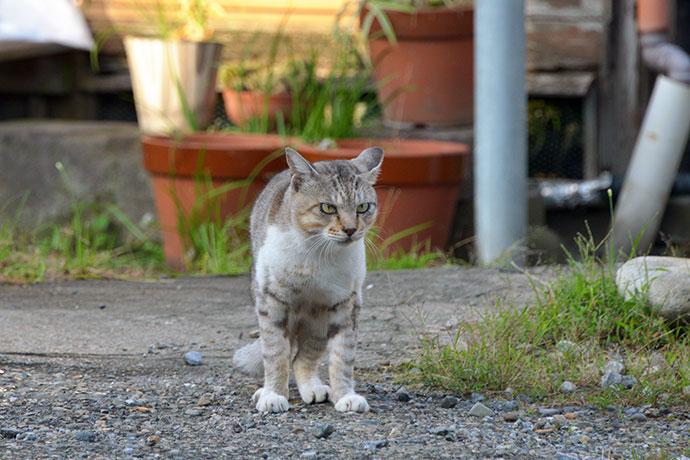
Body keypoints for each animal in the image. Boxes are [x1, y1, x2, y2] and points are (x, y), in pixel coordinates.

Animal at [231, 146, 382, 414]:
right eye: (328, 208)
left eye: (363, 207)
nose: (351, 230)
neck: (317, 255)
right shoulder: (271, 301)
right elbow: (275, 354)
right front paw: (273, 395)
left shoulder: (346, 304)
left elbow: (343, 357)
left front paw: (346, 396)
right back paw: (264, 391)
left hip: (319, 322)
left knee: (303, 358)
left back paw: (313, 388)